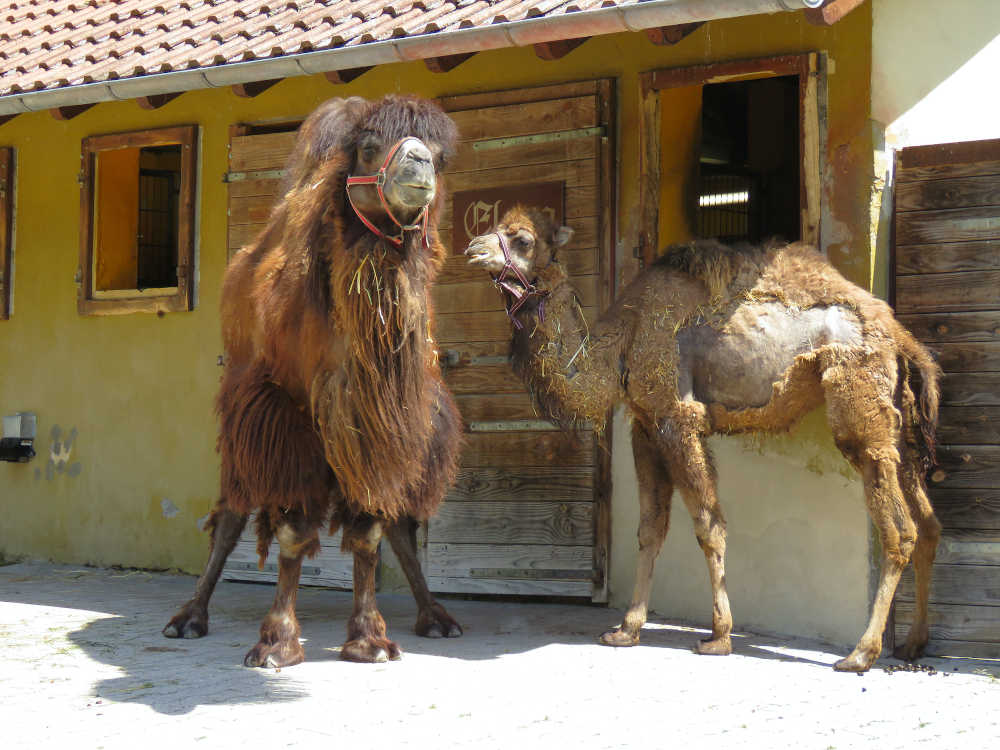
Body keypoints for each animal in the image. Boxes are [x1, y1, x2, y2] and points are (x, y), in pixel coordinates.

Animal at [162, 97, 462, 668]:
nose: (419, 166)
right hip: (244, 412)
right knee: (230, 513)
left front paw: (369, 639)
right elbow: (294, 532)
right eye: (369, 146)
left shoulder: (378, 422)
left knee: (399, 522)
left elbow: (370, 530)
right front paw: (276, 643)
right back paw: (187, 617)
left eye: (439, 155)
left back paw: (437, 616)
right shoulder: (286, 417)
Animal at [464, 207, 940, 676]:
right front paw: (626, 629)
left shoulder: (678, 418)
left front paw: (719, 637)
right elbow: (650, 529)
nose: (472, 249)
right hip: (901, 426)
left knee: (900, 528)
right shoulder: (645, 427)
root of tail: (898, 334)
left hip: (859, 402)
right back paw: (913, 644)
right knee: (929, 523)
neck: (622, 343)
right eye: (493, 226)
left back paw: (861, 653)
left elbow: (709, 527)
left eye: (523, 239)